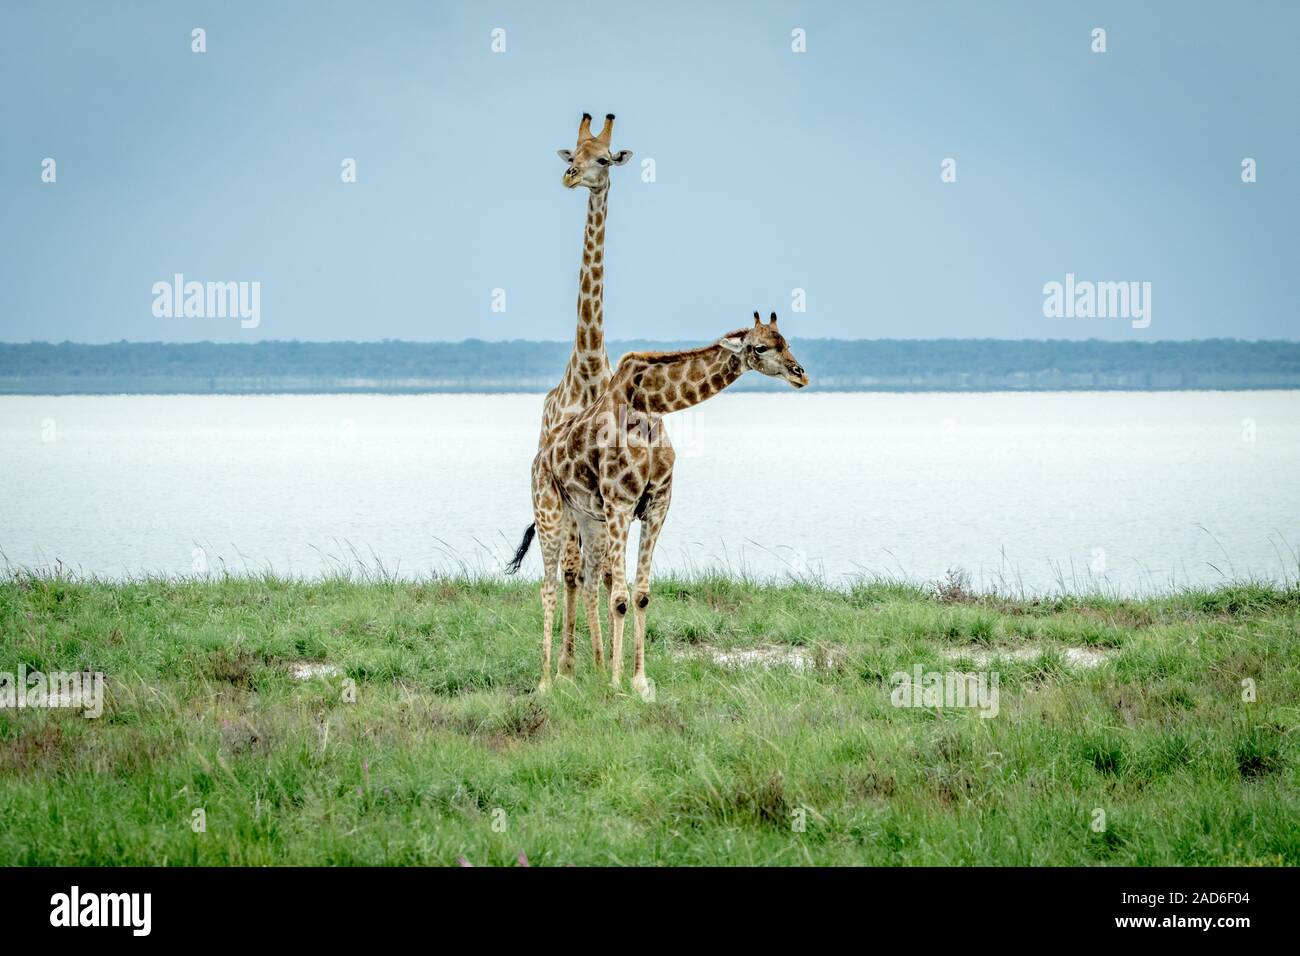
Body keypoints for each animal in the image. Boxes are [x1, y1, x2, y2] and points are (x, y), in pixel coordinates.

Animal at [512, 312, 808, 698]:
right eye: (760, 347)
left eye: (785, 341)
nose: (799, 373)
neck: (648, 404)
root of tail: (541, 456)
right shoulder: (620, 503)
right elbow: (620, 598)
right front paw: (617, 683)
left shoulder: (657, 505)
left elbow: (641, 595)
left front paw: (637, 682)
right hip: (549, 507)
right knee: (550, 586)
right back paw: (548, 681)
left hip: (588, 517)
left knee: (587, 581)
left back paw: (593, 671)